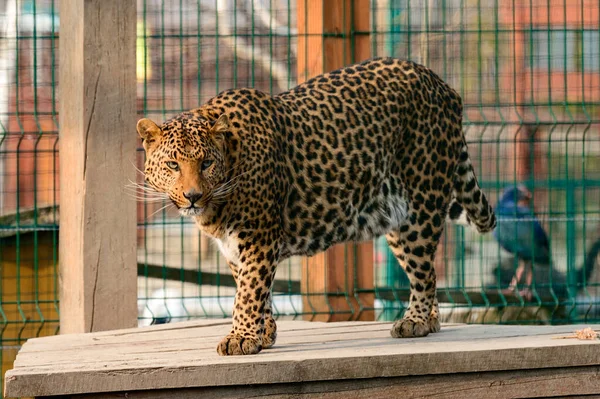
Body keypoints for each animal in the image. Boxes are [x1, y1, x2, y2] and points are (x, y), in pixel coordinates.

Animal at [137, 56, 496, 356]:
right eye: (173, 165)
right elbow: (254, 288)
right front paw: (263, 332)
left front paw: (241, 338)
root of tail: (441, 84)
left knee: (424, 273)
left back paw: (417, 321)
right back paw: (429, 320)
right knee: (428, 271)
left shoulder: (259, 236)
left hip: (419, 206)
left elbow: (250, 290)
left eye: (207, 163)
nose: (193, 196)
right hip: (397, 215)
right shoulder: (234, 246)